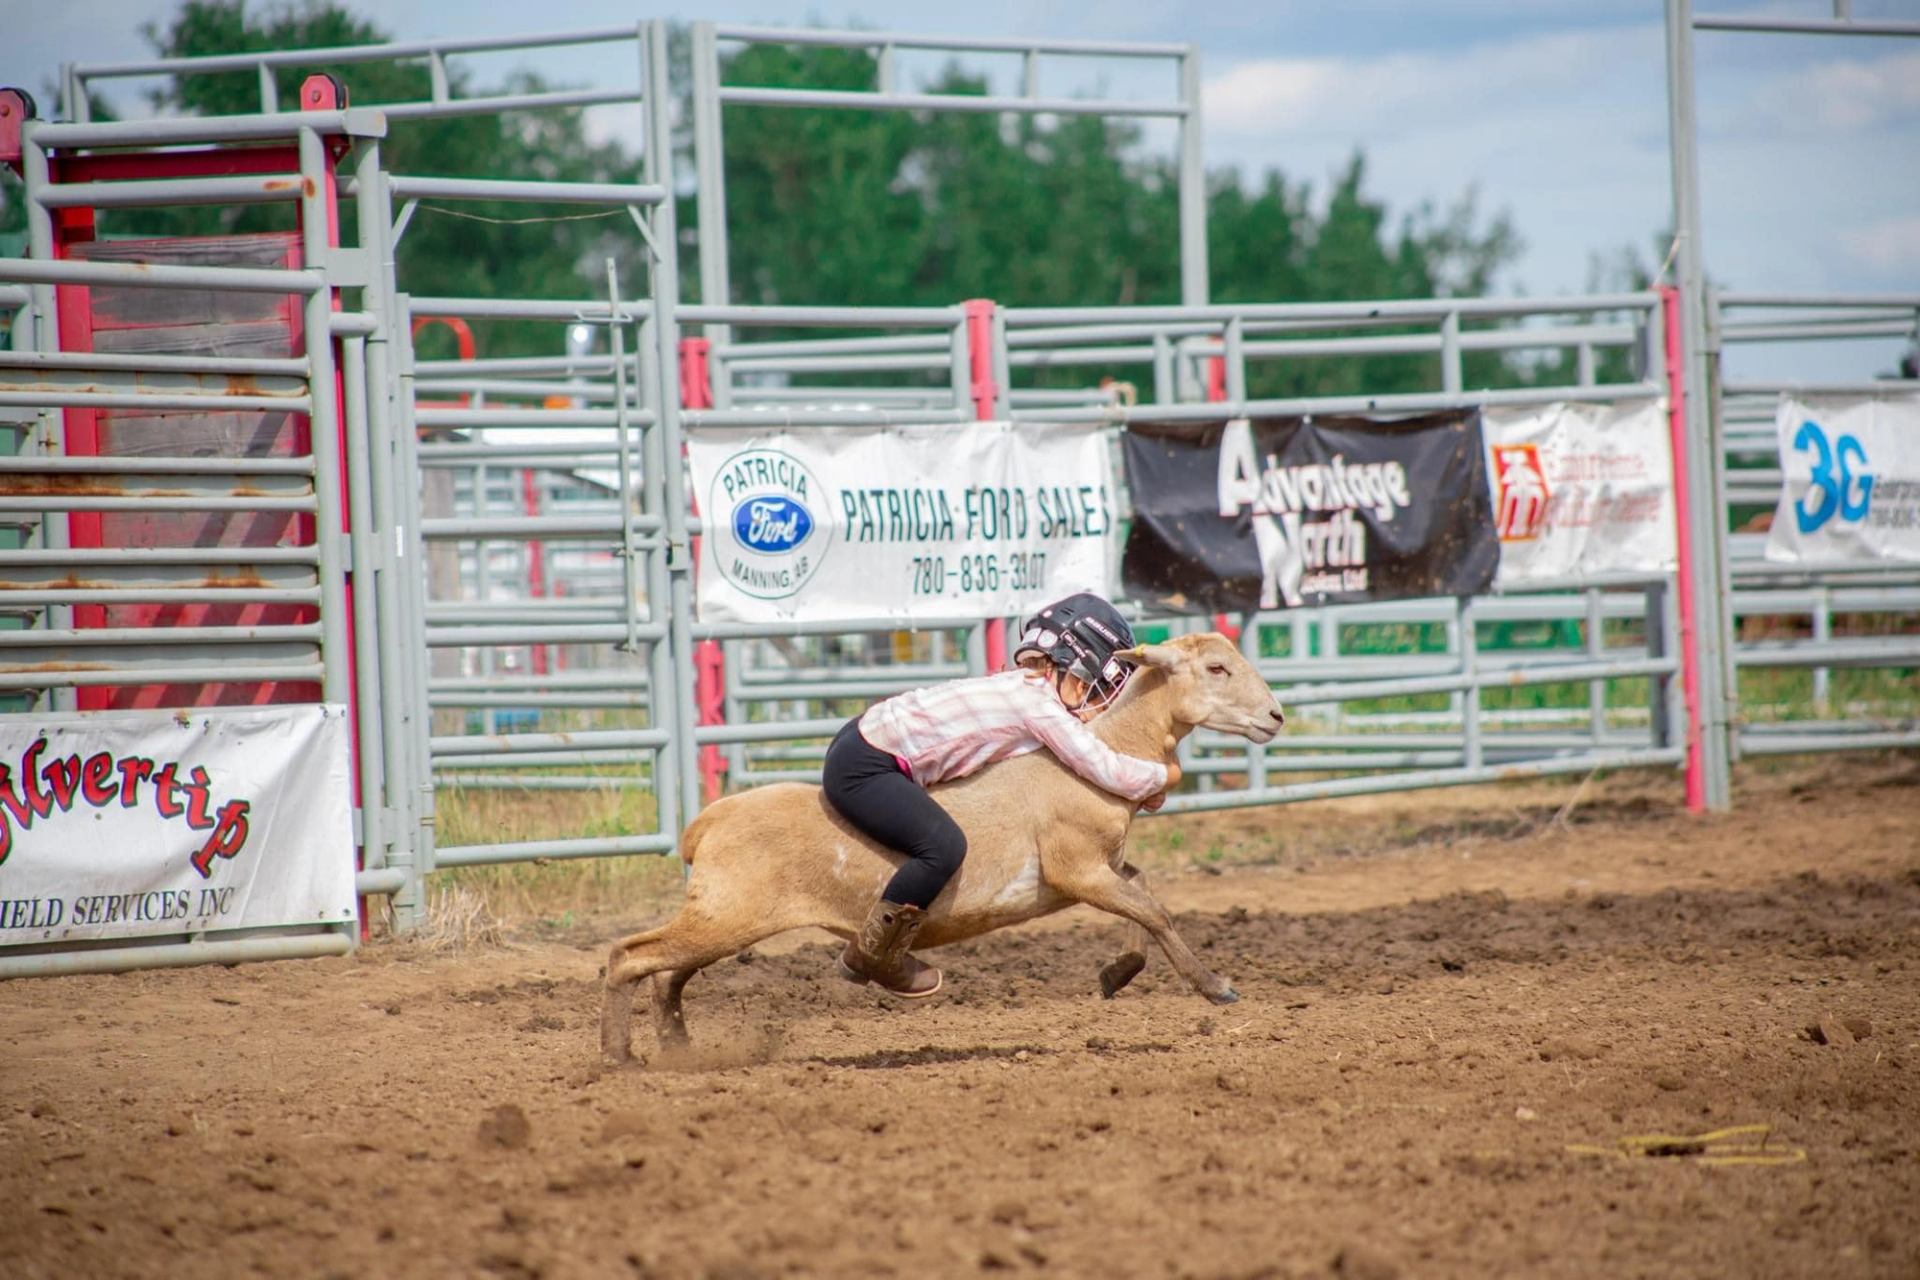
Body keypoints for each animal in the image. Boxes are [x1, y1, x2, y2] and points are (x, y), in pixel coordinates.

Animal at [600, 632, 1286, 1063]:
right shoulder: (1079, 870)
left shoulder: (1103, 869)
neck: (1108, 750)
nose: (1277, 717)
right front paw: (1215, 987)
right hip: (728, 913)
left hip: (724, 915)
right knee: (630, 957)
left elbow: (1142, 898)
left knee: (667, 974)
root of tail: (705, 822)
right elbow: (1154, 911)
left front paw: (1116, 975)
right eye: (1217, 669)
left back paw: (678, 1051)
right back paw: (619, 1057)